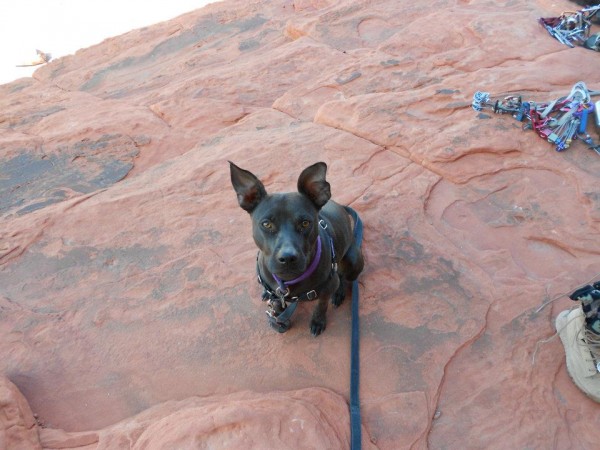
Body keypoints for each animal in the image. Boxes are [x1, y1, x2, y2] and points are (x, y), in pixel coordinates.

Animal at [230, 161, 364, 334]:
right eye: (266, 224)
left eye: (305, 223)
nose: (288, 258)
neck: (287, 281)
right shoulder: (278, 295)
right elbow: (277, 304)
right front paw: (279, 314)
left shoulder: (328, 287)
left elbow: (322, 305)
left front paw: (318, 321)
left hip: (353, 260)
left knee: (344, 278)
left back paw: (339, 293)